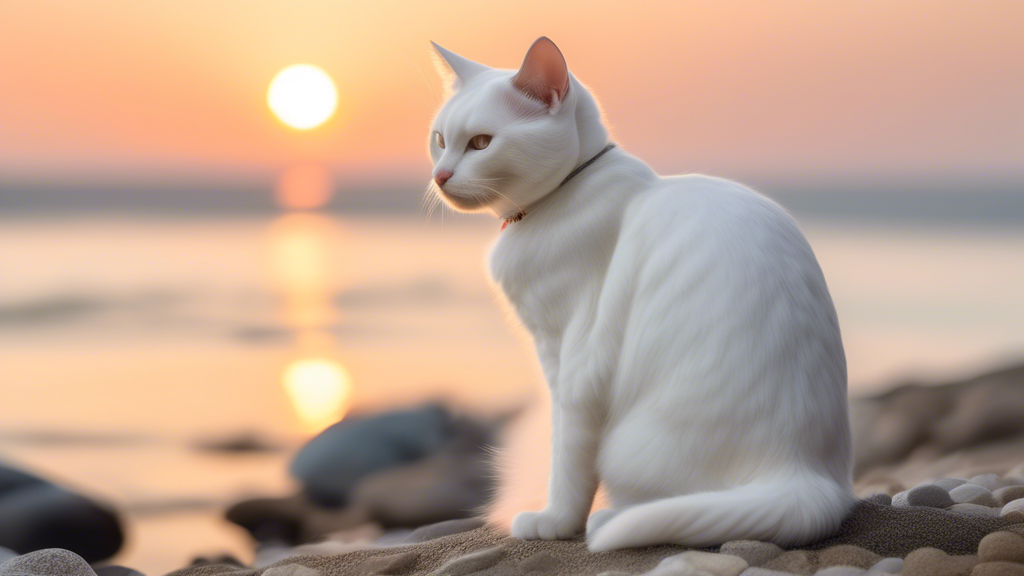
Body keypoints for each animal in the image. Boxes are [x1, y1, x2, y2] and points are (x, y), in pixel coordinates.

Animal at [423, 36, 856, 553]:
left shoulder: (573, 363)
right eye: (440, 140)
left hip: (627, 446)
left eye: (481, 143)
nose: (440, 176)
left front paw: (555, 521)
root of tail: (802, 475)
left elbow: (567, 457)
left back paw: (609, 518)